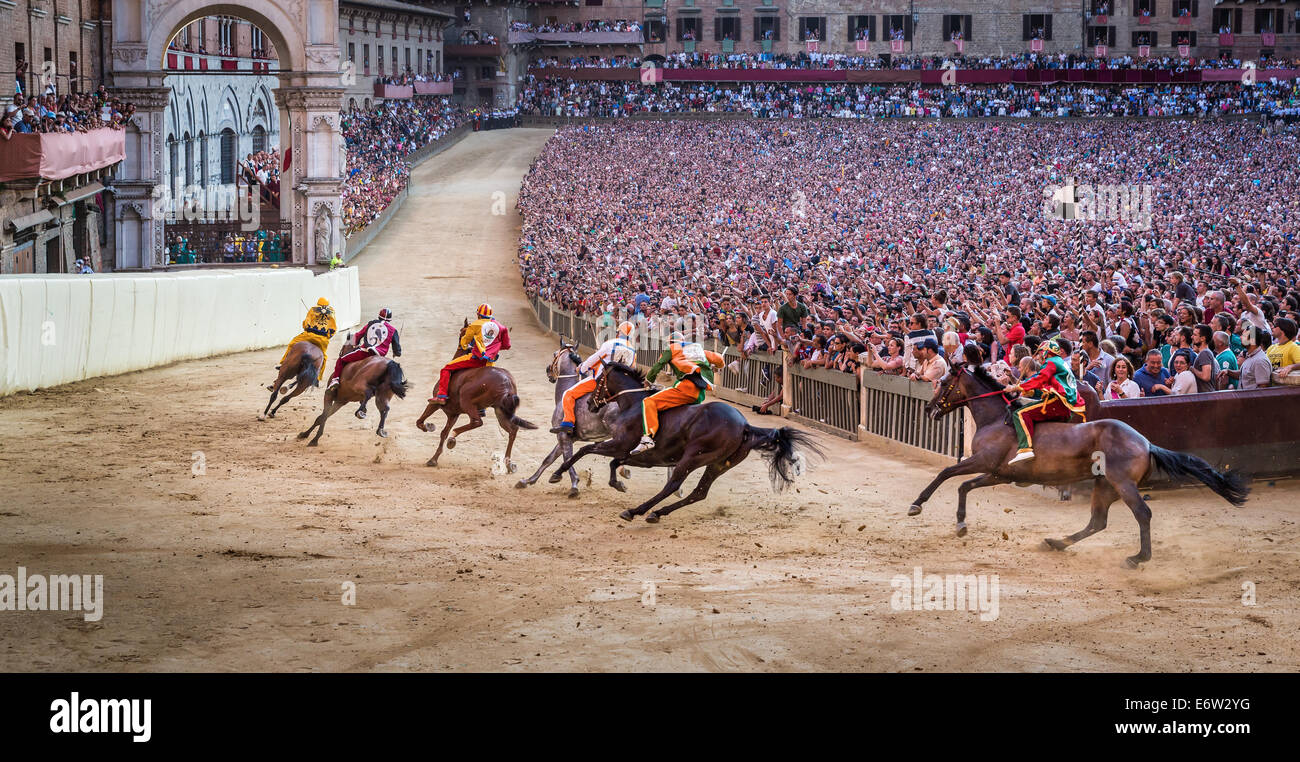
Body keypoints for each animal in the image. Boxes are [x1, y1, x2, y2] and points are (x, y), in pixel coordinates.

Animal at [416, 315, 538, 468]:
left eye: (462, 331)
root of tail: (506, 383)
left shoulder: (436, 404)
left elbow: (421, 421)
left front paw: (429, 427)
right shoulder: (453, 414)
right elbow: (443, 432)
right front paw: (433, 459)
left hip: (467, 400)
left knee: (477, 422)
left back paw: (453, 437)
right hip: (500, 410)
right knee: (513, 430)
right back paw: (508, 463)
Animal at [514, 340, 626, 494]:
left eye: (554, 354)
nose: (548, 370)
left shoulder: (563, 436)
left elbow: (567, 458)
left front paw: (573, 484)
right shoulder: (568, 437)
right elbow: (549, 459)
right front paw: (528, 480)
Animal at [548, 364, 821, 522]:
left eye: (598, 381)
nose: (590, 403)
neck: (633, 403)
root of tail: (744, 425)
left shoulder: (620, 444)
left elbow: (586, 450)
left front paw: (558, 473)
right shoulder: (638, 455)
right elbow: (614, 463)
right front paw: (617, 483)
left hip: (693, 456)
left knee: (673, 485)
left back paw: (637, 511)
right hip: (719, 464)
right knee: (699, 492)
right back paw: (656, 513)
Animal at [909, 361, 1242, 564]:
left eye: (943, 382)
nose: (928, 408)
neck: (995, 419)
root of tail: (1145, 443)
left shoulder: (984, 461)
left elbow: (946, 473)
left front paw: (917, 505)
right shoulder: (997, 473)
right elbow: (964, 486)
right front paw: (961, 523)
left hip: (1122, 484)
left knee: (1142, 514)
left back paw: (1138, 558)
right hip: (1104, 486)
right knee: (1097, 521)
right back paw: (1057, 543)